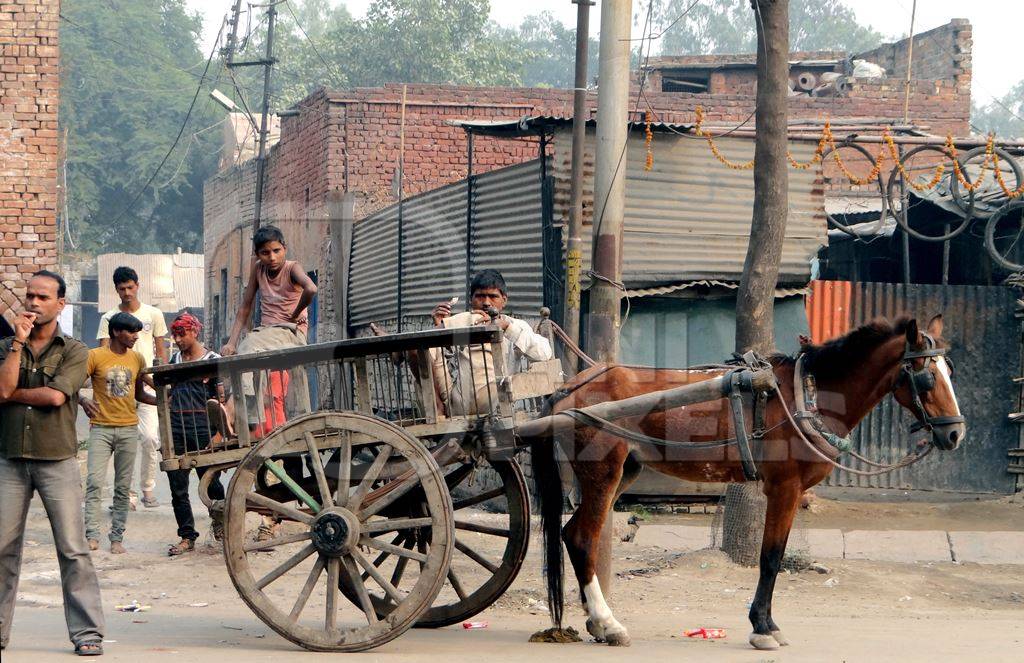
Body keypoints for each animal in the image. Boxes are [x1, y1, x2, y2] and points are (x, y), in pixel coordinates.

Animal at [532, 315, 962, 647]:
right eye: (926, 377)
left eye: (950, 371)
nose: (956, 433)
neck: (806, 397)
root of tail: (568, 389)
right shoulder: (784, 488)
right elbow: (769, 557)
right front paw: (762, 628)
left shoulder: (791, 492)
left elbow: (776, 554)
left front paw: (767, 623)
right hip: (602, 473)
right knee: (583, 538)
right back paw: (609, 624)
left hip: (625, 471)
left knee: (571, 533)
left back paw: (595, 622)